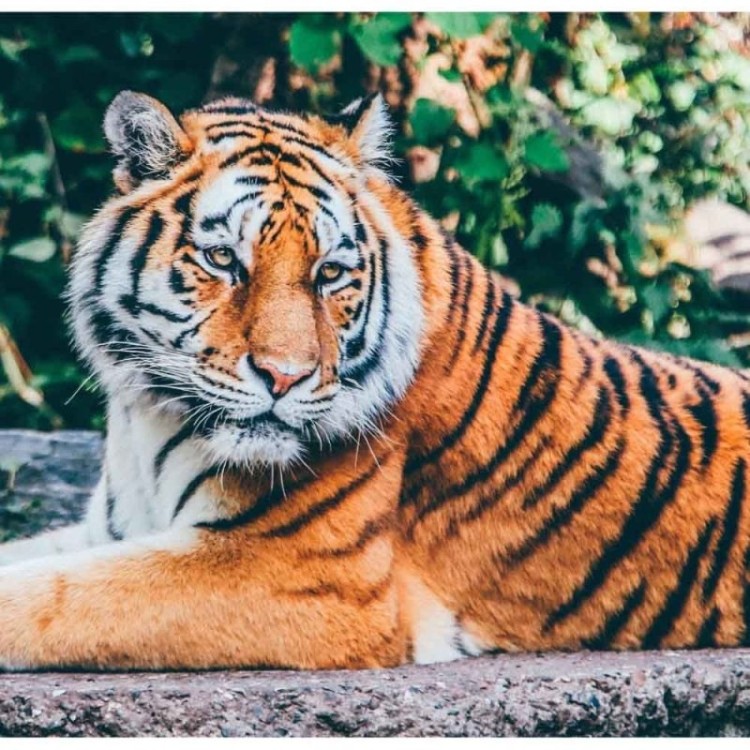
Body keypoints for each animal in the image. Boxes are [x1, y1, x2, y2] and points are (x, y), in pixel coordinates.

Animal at [0, 89, 749, 671]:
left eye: (330, 273)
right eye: (222, 260)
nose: (285, 377)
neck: (152, 415)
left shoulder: (298, 574)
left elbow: (51, 594)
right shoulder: (115, 531)